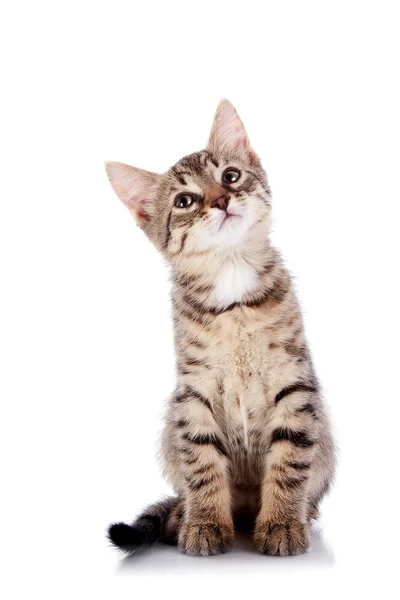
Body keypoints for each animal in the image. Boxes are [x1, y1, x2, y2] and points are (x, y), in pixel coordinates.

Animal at [105, 99, 334, 556]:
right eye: (184, 200)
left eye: (230, 176)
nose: (222, 199)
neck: (232, 289)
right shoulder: (193, 393)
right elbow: (201, 463)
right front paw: (206, 523)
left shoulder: (294, 383)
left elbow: (289, 461)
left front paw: (283, 523)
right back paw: (185, 517)